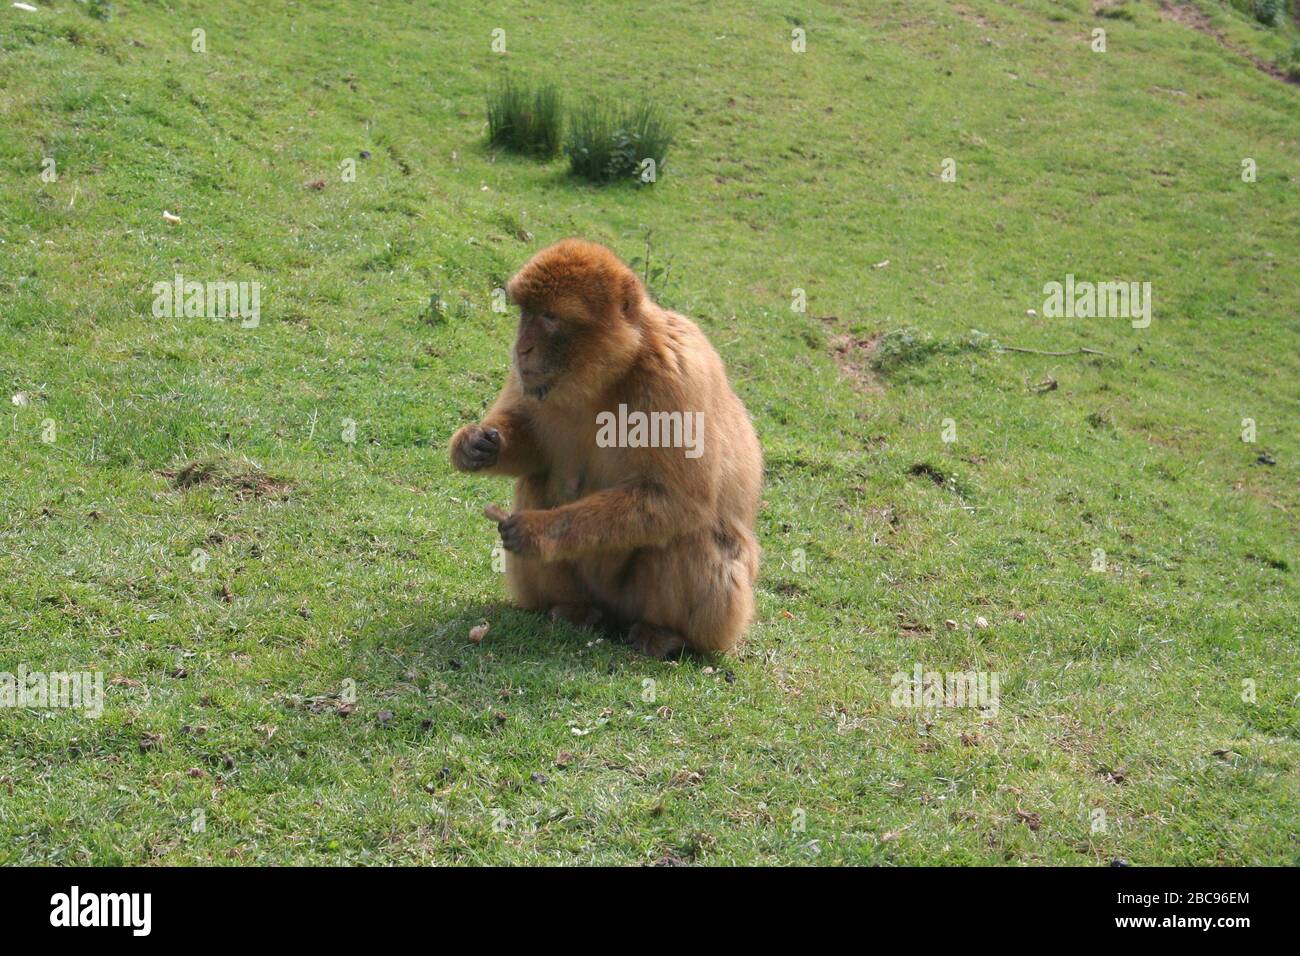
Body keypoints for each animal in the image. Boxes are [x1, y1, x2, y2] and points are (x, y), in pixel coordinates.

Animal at [449, 239, 762, 658]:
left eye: (549, 317)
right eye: (526, 312)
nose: (522, 349)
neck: (612, 372)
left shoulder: (677, 377)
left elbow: (679, 498)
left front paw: (538, 531)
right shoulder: (532, 380)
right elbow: (533, 447)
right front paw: (474, 444)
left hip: (696, 613)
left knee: (695, 530)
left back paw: (665, 633)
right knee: (535, 480)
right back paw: (572, 608)